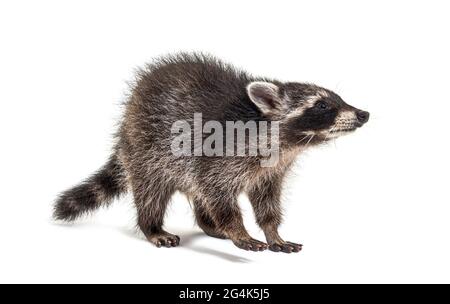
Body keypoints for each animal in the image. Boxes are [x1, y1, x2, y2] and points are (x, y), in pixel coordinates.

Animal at [53, 53, 370, 253]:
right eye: (321, 105)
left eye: (338, 99)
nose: (363, 114)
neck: (286, 143)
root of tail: (127, 120)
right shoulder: (219, 153)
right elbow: (219, 194)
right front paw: (238, 229)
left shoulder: (271, 171)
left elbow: (266, 202)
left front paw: (272, 231)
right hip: (147, 149)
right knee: (152, 193)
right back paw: (152, 226)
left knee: (197, 195)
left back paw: (210, 224)